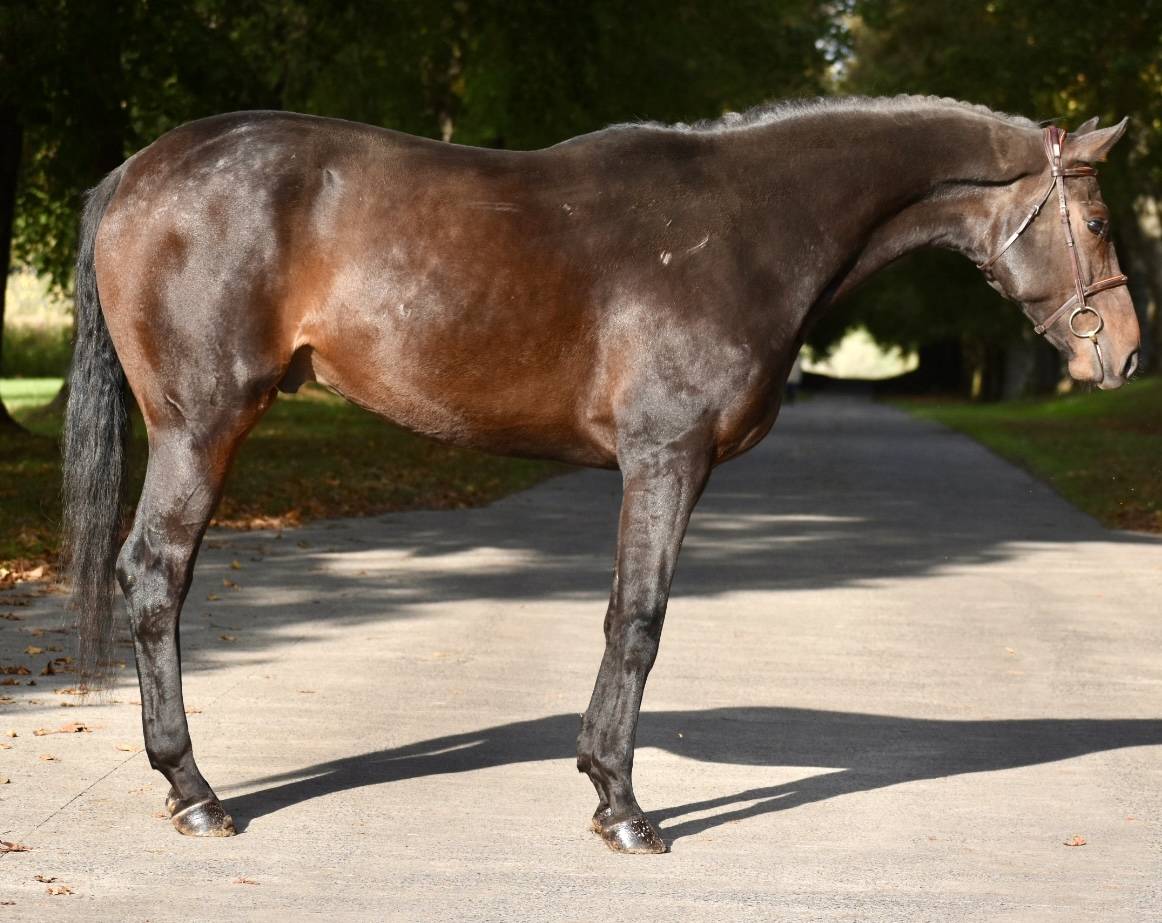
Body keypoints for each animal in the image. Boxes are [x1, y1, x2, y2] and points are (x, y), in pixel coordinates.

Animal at [63, 95, 1140, 854]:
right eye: (1094, 221)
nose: (1125, 354)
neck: (749, 226)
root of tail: (136, 171)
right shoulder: (666, 458)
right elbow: (639, 619)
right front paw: (622, 806)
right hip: (202, 424)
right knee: (155, 576)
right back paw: (195, 794)